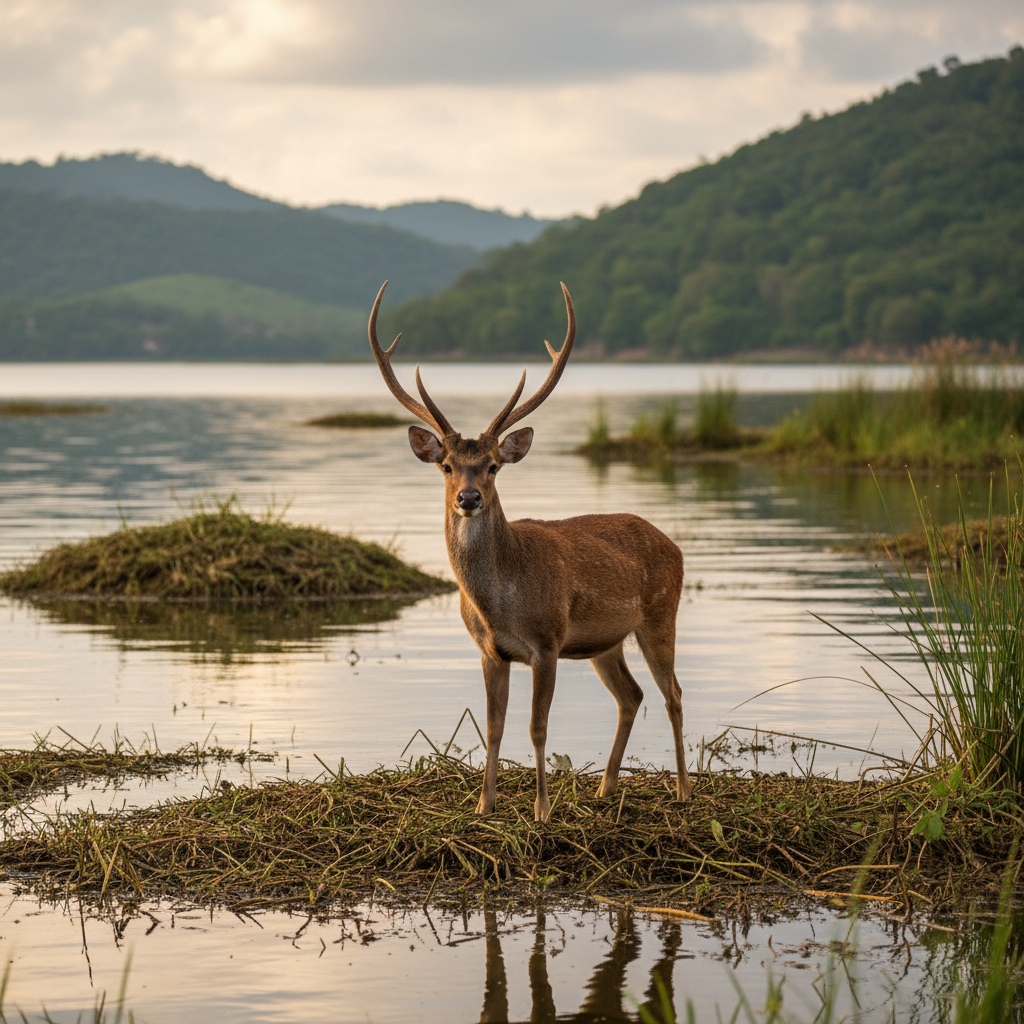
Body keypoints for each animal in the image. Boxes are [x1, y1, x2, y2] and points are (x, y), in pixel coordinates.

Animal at [368, 280, 691, 822]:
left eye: (494, 466)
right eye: (447, 465)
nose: (468, 498)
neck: (499, 603)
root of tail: (676, 547)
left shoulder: (547, 641)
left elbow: (538, 728)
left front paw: (541, 810)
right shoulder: (489, 651)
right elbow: (494, 726)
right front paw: (484, 804)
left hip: (660, 614)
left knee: (673, 694)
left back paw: (686, 790)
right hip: (606, 641)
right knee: (632, 695)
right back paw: (604, 788)